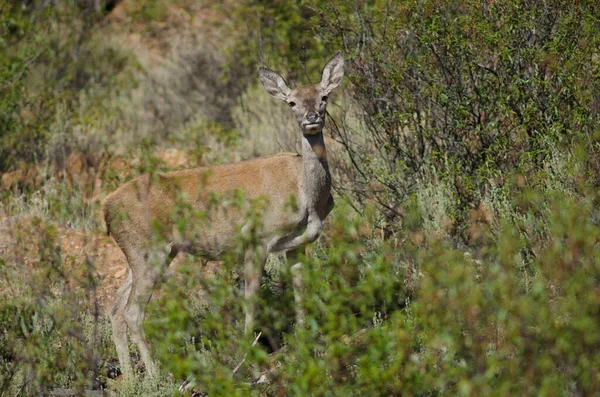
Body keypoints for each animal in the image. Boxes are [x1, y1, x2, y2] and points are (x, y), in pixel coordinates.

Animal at [104, 51, 342, 376]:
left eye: (324, 96)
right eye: (291, 102)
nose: (311, 119)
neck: (306, 196)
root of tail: (106, 209)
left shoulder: (297, 243)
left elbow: (300, 292)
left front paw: (307, 344)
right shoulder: (257, 238)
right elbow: (251, 301)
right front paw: (247, 360)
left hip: (143, 254)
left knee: (115, 307)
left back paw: (130, 378)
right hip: (149, 250)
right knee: (132, 311)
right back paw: (156, 375)